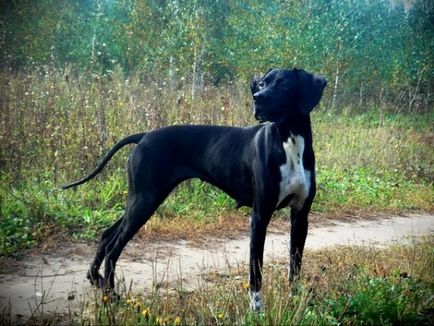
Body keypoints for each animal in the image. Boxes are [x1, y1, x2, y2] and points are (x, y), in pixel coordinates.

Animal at [63, 67, 326, 310]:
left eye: (283, 83)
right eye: (262, 83)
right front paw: (256, 310)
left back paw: (95, 279)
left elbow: (295, 264)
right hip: (145, 200)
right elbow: (256, 270)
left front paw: (294, 301)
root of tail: (144, 136)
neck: (290, 141)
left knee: (107, 235)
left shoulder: (300, 216)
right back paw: (111, 296)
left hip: (142, 199)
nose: (257, 97)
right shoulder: (260, 215)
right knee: (113, 247)